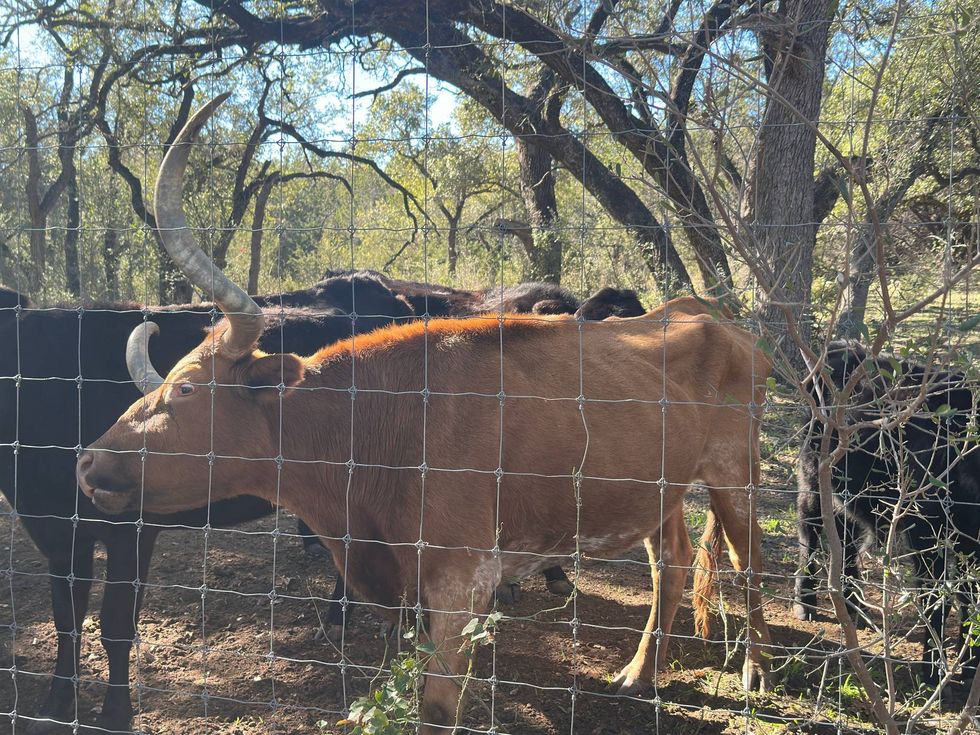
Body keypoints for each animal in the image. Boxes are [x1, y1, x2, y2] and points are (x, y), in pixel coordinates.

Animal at [76, 95, 773, 733]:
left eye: (186, 392)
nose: (88, 465)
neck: (380, 425)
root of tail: (709, 315)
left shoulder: (462, 584)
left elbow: (436, 708)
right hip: (657, 489)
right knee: (671, 562)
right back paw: (641, 671)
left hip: (735, 473)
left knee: (747, 561)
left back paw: (755, 670)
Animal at [794, 340, 979, 691]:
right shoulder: (926, 532)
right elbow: (936, 599)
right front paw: (933, 671)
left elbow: (969, 598)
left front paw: (970, 666)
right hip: (813, 480)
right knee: (810, 532)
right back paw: (805, 601)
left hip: (850, 496)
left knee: (846, 541)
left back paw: (853, 605)